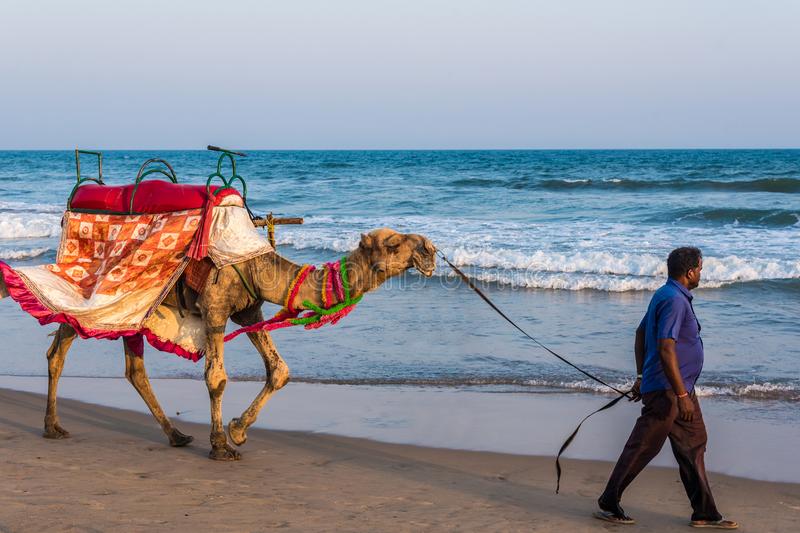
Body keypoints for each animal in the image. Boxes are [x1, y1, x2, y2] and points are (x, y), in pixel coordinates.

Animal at [40, 228, 434, 458]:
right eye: (394, 243)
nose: (430, 250)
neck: (258, 267)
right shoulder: (215, 309)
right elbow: (216, 378)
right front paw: (220, 445)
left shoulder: (249, 311)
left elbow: (279, 370)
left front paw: (238, 431)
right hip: (96, 294)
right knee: (59, 347)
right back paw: (52, 427)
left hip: (138, 311)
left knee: (134, 369)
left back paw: (176, 435)